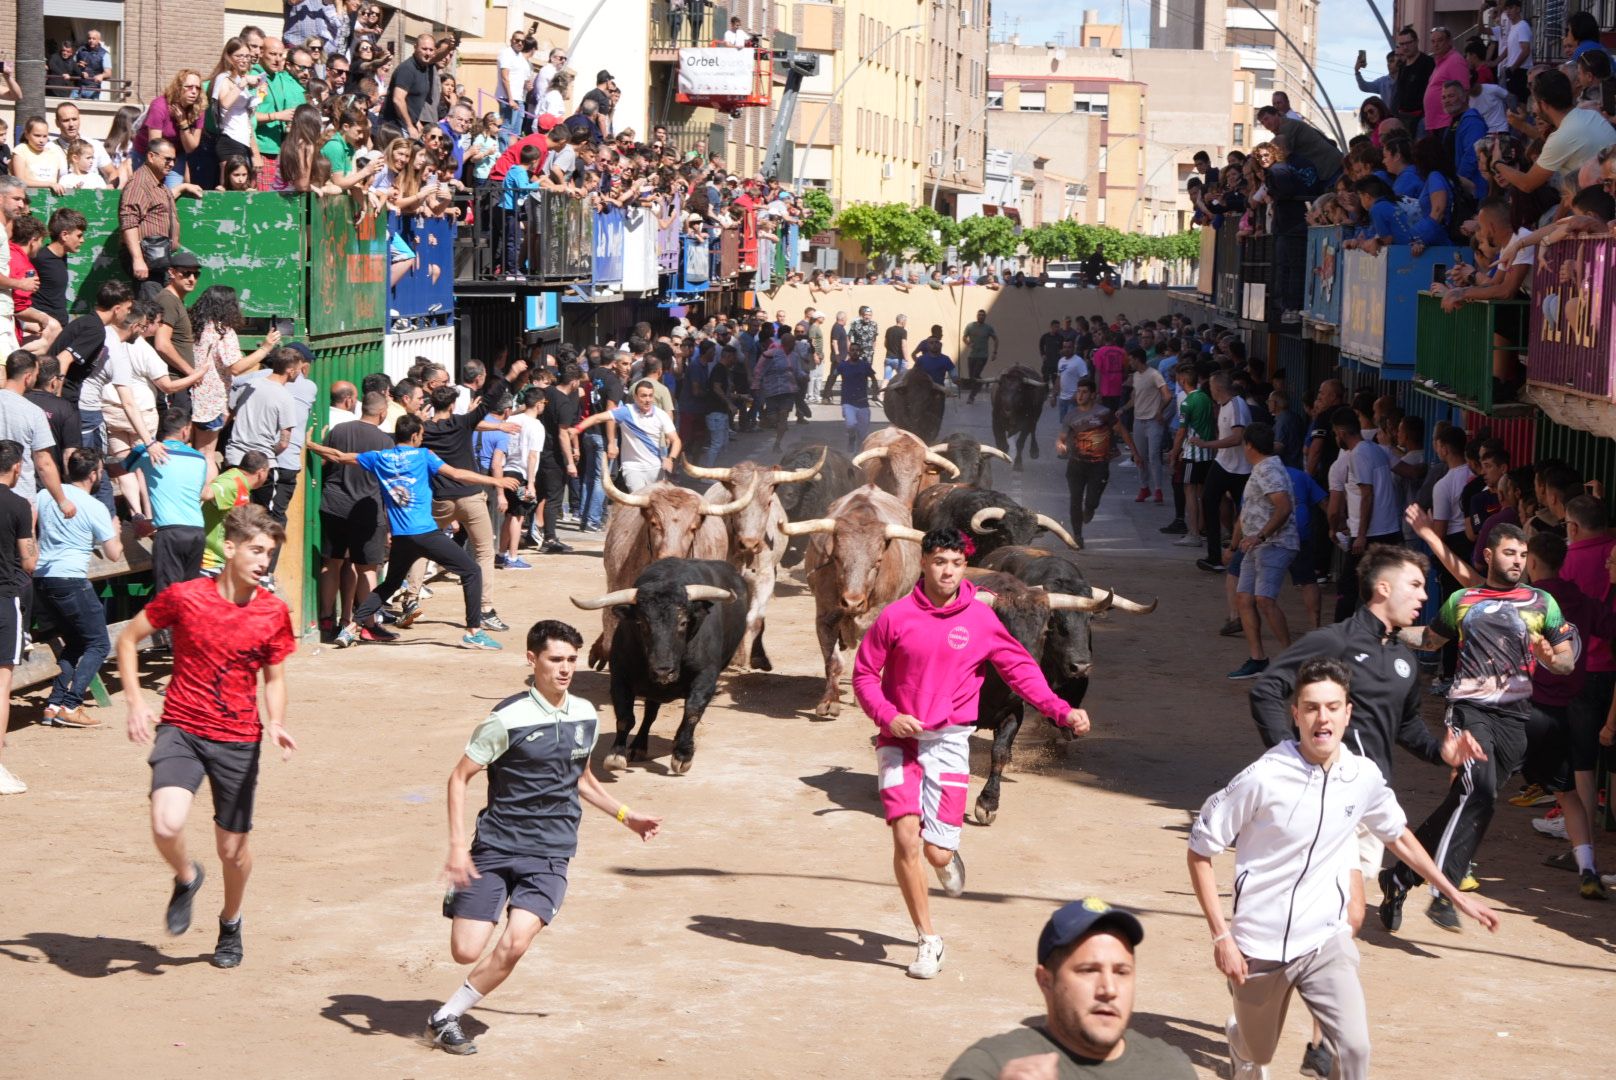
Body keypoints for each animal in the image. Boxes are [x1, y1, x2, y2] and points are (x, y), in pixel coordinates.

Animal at [678, 446, 827, 666]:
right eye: (735, 502)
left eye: (768, 502)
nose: (749, 543)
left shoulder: (764, 578)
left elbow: (753, 617)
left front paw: (752, 657)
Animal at [788, 488, 930, 717]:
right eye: (837, 558)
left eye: (878, 561)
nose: (852, 602)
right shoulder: (825, 616)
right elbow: (833, 661)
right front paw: (830, 701)